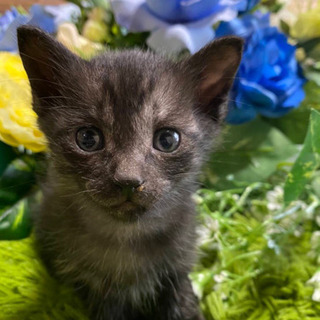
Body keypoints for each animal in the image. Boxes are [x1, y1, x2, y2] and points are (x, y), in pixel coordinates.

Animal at [16, 25, 242, 320]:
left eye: (167, 140)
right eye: (87, 138)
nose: (128, 181)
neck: (126, 242)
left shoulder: (178, 268)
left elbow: (184, 303)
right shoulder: (93, 290)